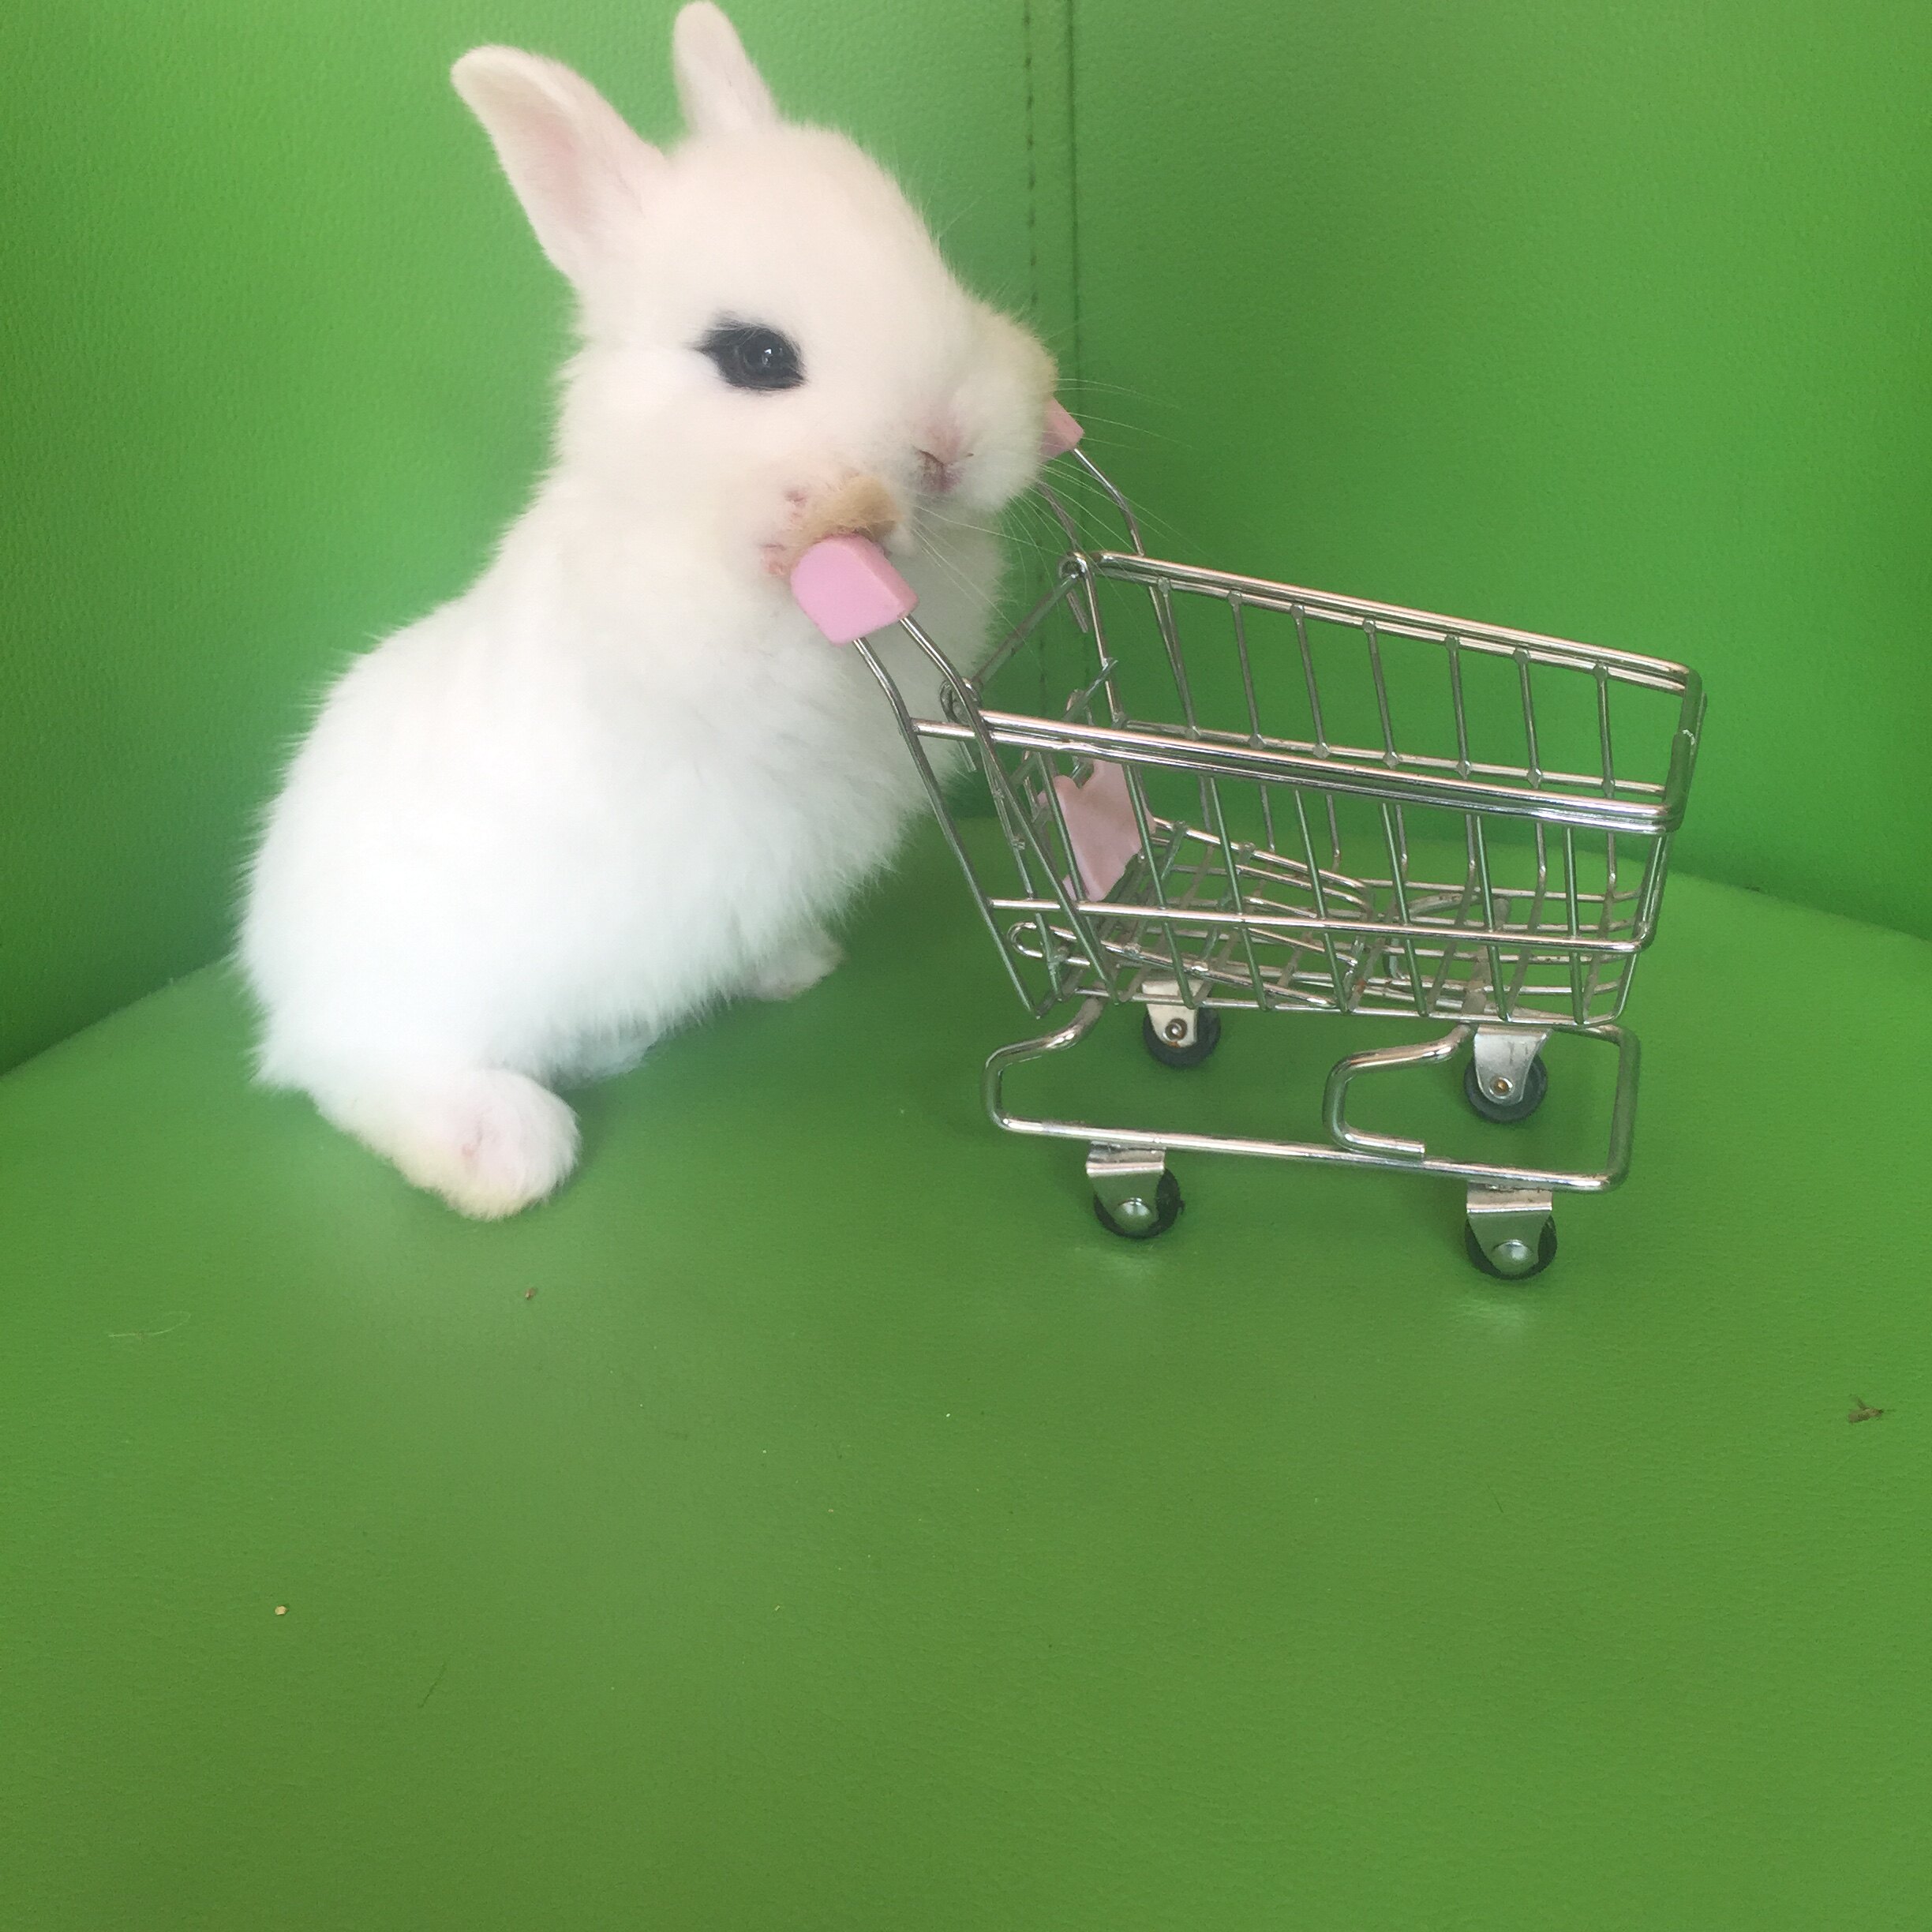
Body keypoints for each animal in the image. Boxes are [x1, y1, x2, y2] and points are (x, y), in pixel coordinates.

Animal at [240, 3, 1057, 1219]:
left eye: (942, 272)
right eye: (754, 357)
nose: (945, 447)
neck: (675, 496)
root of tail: (275, 973)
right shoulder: (682, 650)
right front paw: (800, 512)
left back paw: (792, 963)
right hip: (402, 1015)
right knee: (359, 1077)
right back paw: (499, 1152)